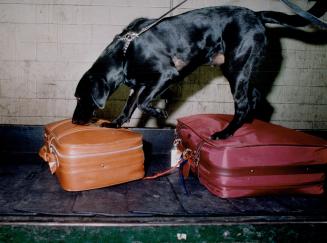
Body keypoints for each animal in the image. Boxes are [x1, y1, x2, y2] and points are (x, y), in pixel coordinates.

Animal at [73, 0, 326, 140]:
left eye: (81, 97)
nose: (74, 122)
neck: (126, 51)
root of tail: (257, 15)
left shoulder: (166, 75)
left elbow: (144, 103)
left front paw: (161, 113)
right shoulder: (141, 85)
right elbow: (130, 106)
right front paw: (115, 123)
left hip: (236, 68)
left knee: (243, 103)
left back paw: (225, 133)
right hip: (243, 70)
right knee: (256, 97)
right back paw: (247, 125)